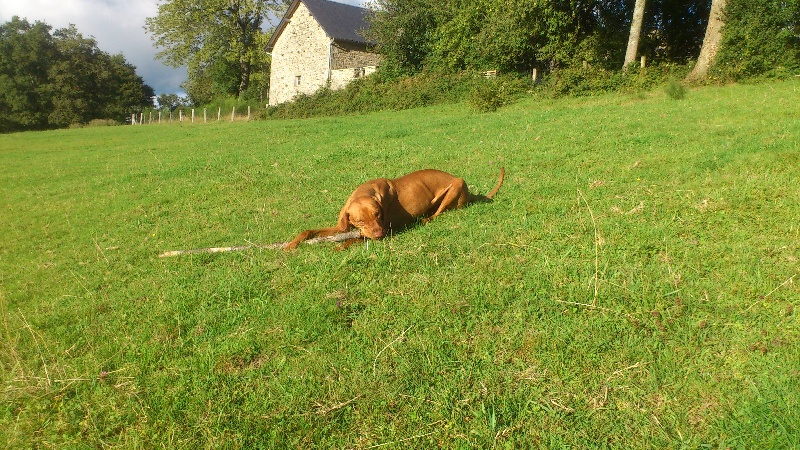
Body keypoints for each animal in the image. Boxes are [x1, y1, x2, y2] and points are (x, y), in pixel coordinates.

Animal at [284, 167, 504, 250]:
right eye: (360, 220)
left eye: (378, 214)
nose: (379, 234)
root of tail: (471, 193)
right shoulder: (342, 227)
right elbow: (308, 230)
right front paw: (291, 245)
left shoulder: (386, 228)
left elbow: (353, 239)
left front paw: (340, 246)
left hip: (457, 184)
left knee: (438, 214)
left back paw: (426, 218)